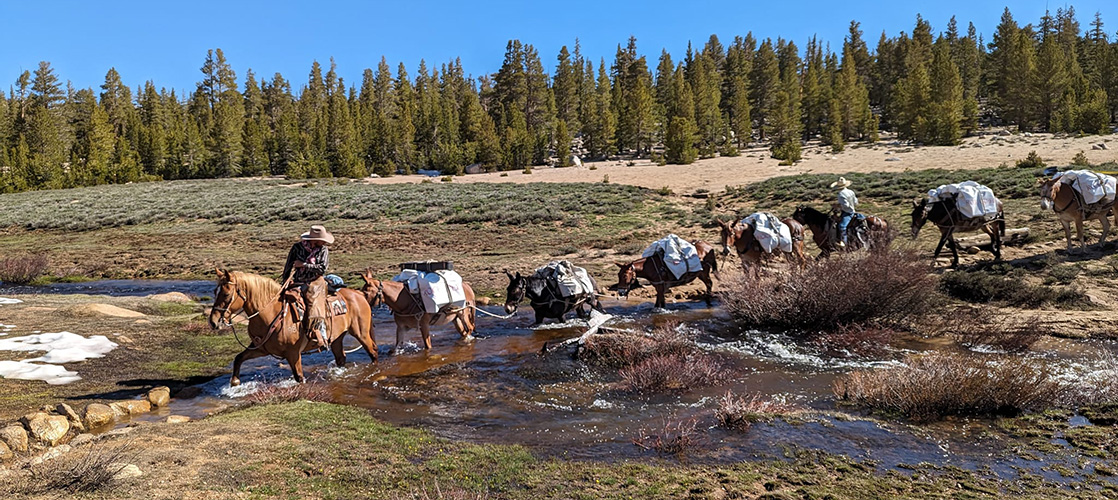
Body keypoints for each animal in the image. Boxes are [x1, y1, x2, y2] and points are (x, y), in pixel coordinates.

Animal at [209, 270, 380, 387]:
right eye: (214, 291)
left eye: (226, 294)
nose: (213, 321)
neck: (271, 313)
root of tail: (359, 294)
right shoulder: (261, 348)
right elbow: (239, 358)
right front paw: (235, 382)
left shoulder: (293, 353)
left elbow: (299, 377)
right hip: (337, 338)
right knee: (341, 358)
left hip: (361, 333)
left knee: (373, 352)